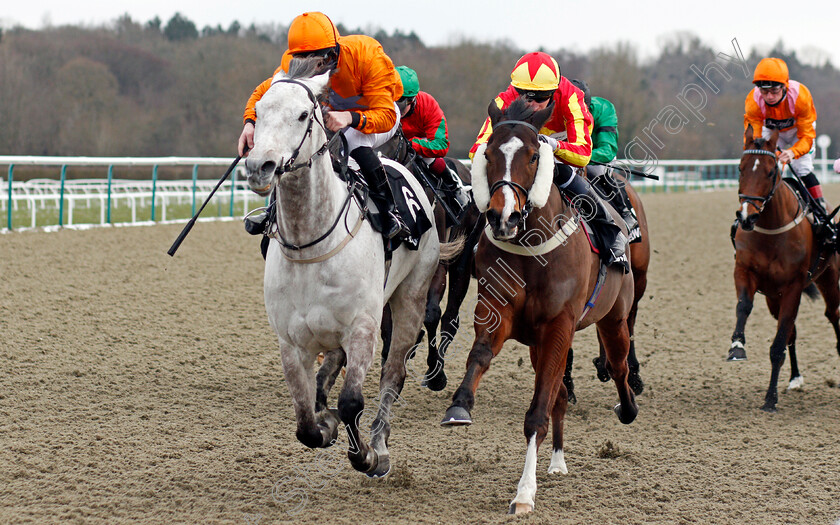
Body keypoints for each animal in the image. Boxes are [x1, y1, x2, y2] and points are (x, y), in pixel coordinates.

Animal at [243, 59, 460, 476]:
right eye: (258, 112)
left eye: (303, 114)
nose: (260, 165)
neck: (311, 244)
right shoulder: (291, 342)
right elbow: (305, 420)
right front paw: (324, 424)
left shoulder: (362, 328)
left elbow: (351, 402)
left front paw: (368, 455)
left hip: (410, 296)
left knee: (393, 374)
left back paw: (380, 441)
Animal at [376, 127, 482, 388]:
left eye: (394, 139)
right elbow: (386, 323)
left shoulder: (437, 262)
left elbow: (432, 313)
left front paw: (436, 373)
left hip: (462, 261)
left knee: (450, 318)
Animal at [440, 98, 636, 512]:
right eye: (488, 154)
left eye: (533, 156)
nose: (503, 216)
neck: (532, 247)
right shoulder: (498, 311)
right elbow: (480, 355)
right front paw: (459, 406)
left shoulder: (559, 325)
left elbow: (537, 412)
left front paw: (524, 493)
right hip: (537, 342)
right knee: (560, 395)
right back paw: (558, 461)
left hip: (613, 318)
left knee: (618, 366)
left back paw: (627, 409)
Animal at [728, 125, 840, 412]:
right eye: (740, 169)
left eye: (770, 172)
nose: (746, 217)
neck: (771, 229)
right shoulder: (745, 272)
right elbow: (744, 306)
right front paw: (737, 346)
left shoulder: (793, 287)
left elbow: (778, 345)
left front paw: (770, 398)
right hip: (773, 298)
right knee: (792, 331)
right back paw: (795, 378)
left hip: (829, 278)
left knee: (832, 314)